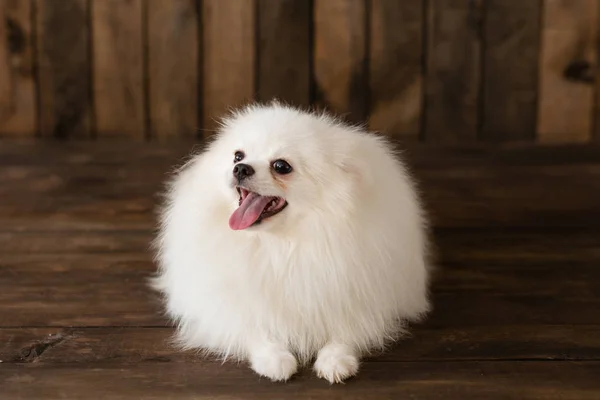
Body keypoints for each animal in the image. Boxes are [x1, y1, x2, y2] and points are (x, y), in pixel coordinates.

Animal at [150, 103, 432, 384]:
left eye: (281, 166)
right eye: (238, 156)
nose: (240, 168)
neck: (281, 245)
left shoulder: (361, 292)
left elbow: (349, 329)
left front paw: (336, 360)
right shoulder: (226, 301)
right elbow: (250, 324)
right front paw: (274, 359)